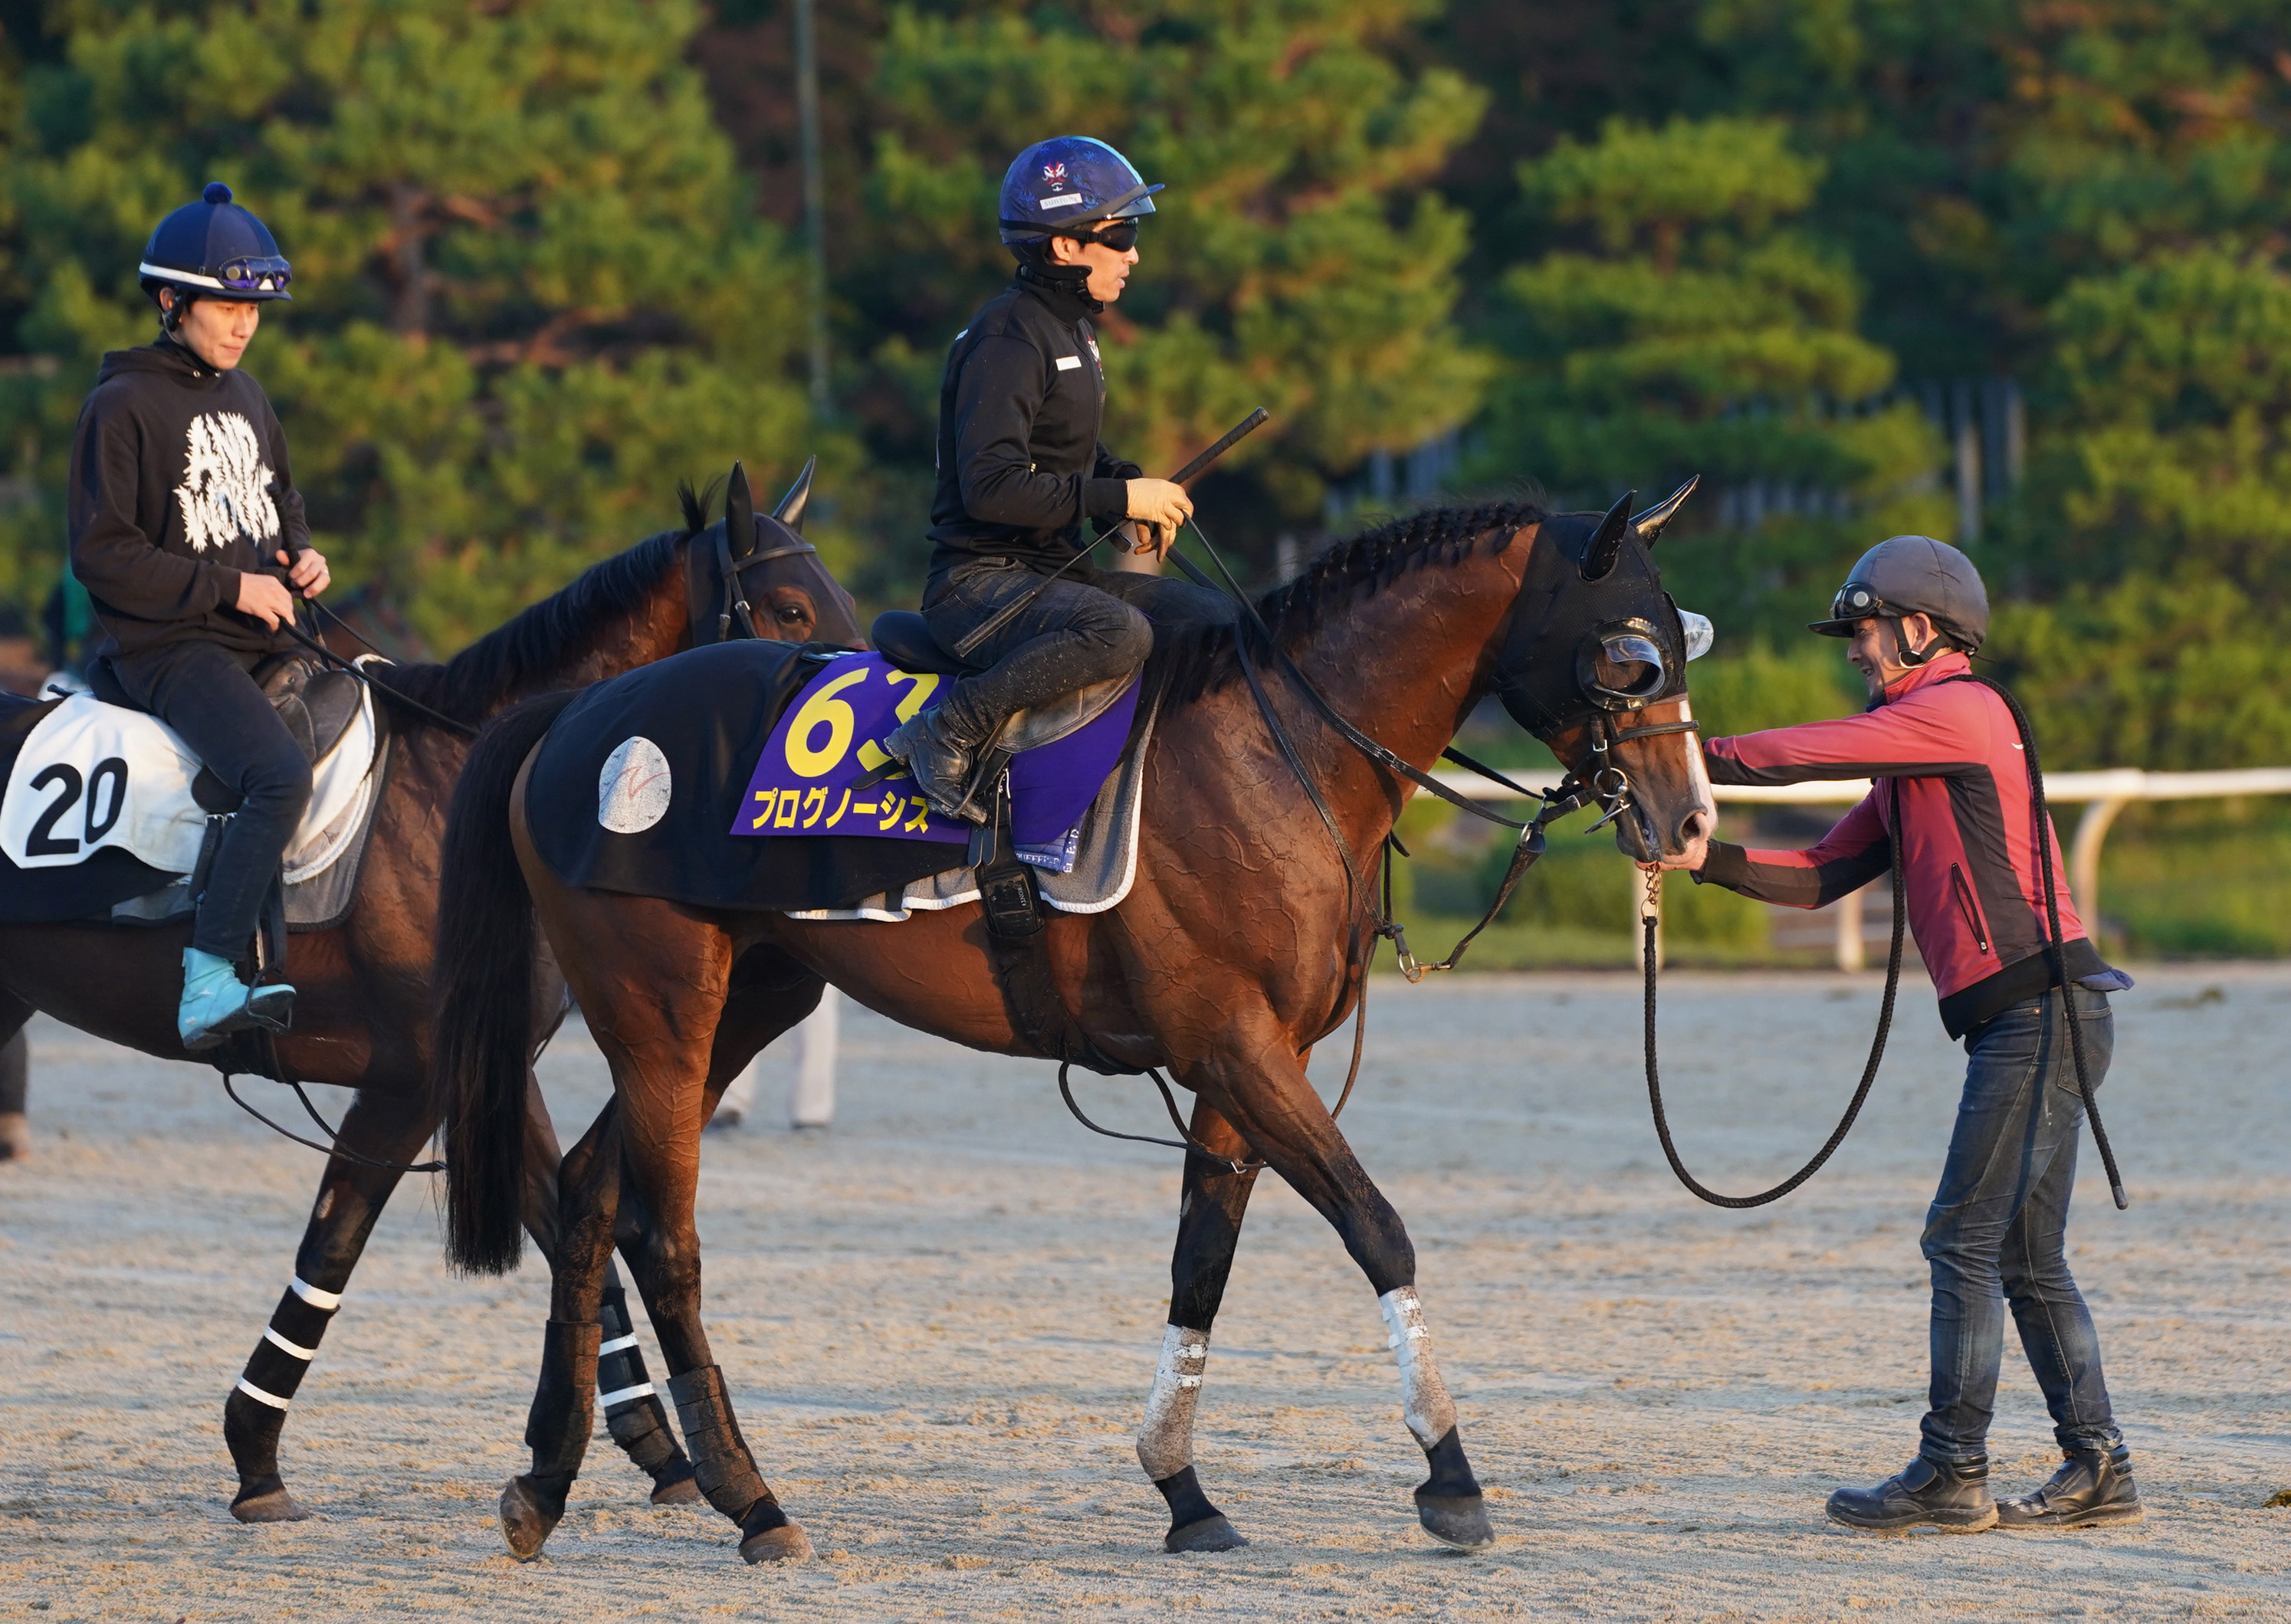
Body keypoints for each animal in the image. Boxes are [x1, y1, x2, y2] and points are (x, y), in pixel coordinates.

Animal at [0, 460, 856, 1521]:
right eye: (790, 608)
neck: (470, 777)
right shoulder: (416, 1079)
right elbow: (335, 1248)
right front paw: (256, 1457)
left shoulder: (487, 1068)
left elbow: (568, 1225)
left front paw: (651, 1449)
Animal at [430, 490, 1722, 1557]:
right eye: (1631, 654)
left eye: (1682, 636)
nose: (1691, 819)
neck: (1273, 750)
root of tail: (579, 713)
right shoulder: (1238, 1048)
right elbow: (1379, 1229)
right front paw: (1451, 1475)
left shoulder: (1245, 1067)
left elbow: (1202, 1263)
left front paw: (1184, 1488)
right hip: (663, 1012)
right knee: (667, 1236)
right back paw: (753, 1500)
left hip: (743, 1002)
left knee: (589, 1190)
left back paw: (545, 1479)